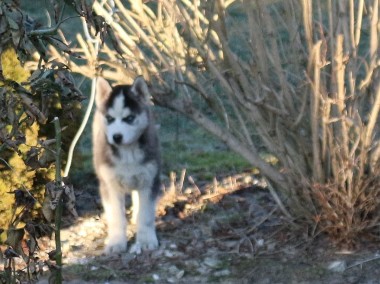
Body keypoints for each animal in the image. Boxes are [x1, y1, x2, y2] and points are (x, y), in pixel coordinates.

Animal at [92, 76, 160, 254]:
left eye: (129, 118)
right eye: (109, 118)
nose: (116, 137)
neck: (128, 152)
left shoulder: (149, 180)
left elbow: (146, 214)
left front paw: (146, 240)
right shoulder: (109, 185)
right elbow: (116, 217)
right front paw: (116, 242)